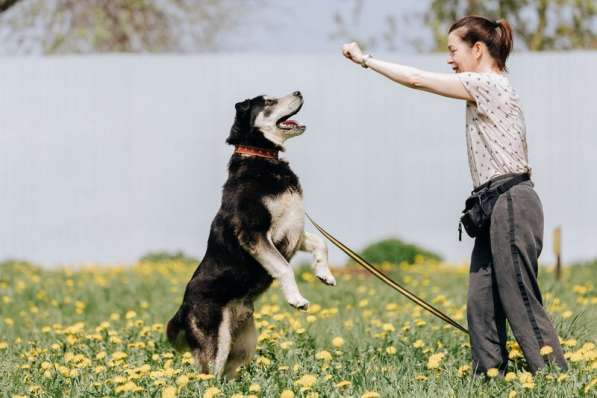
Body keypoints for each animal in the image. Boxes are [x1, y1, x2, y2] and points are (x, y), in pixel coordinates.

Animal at [166, 91, 336, 380]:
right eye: (268, 102)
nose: (299, 91)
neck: (262, 157)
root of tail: (183, 308)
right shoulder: (254, 233)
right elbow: (284, 268)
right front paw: (296, 299)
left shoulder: (292, 230)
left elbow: (320, 243)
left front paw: (325, 274)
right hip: (216, 342)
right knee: (206, 377)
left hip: (244, 344)